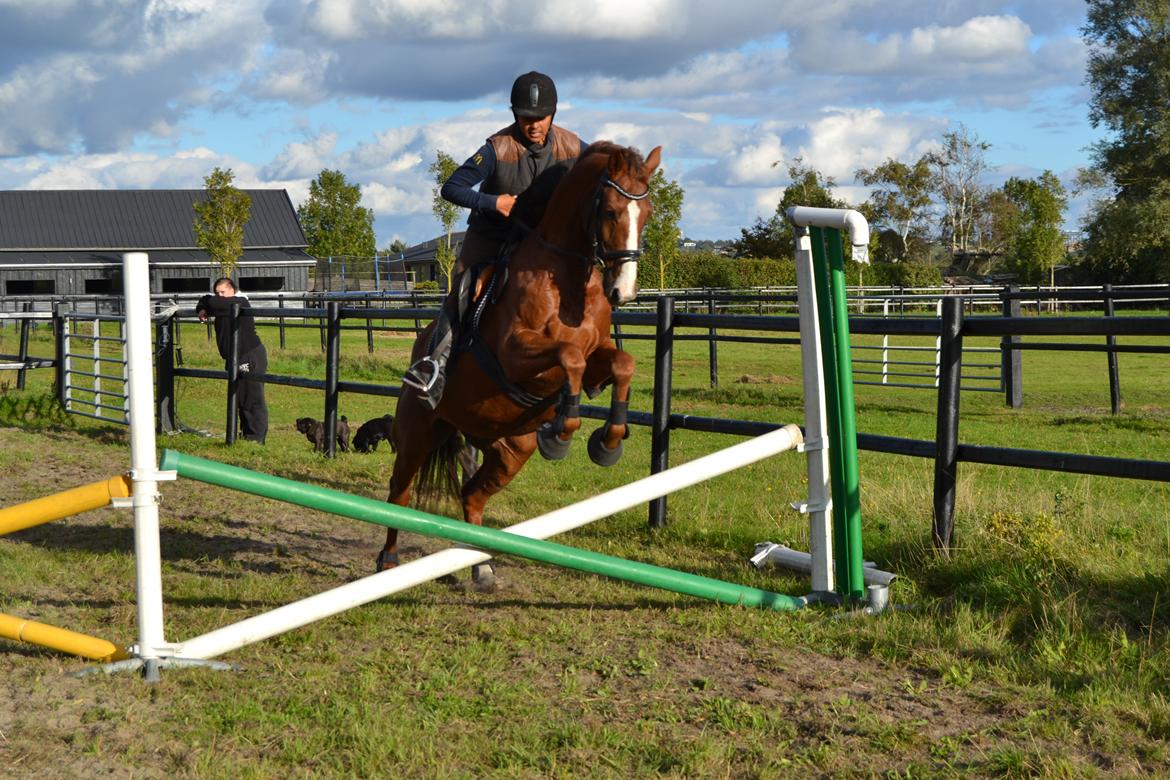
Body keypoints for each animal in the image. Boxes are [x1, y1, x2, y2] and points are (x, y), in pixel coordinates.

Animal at [381, 142, 664, 591]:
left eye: (648, 213)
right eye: (610, 212)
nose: (625, 292)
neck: (568, 279)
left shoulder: (598, 356)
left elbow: (621, 363)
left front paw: (608, 442)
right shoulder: (515, 352)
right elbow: (569, 356)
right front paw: (563, 432)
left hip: (508, 448)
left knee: (471, 494)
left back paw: (480, 567)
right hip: (417, 431)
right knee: (399, 493)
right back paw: (389, 561)